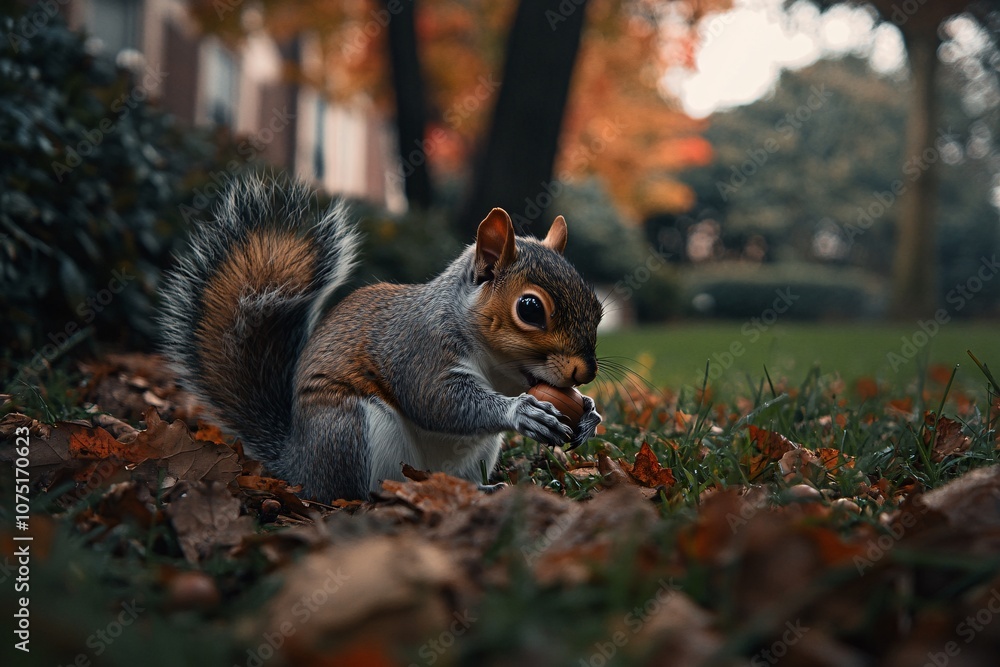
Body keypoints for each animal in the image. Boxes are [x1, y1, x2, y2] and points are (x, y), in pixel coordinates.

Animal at [160, 173, 603, 501]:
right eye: (529, 308)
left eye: (598, 307)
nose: (585, 373)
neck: (498, 366)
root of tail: (298, 465)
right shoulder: (419, 348)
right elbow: (437, 401)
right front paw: (519, 412)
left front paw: (589, 414)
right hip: (350, 430)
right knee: (352, 492)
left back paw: (478, 489)